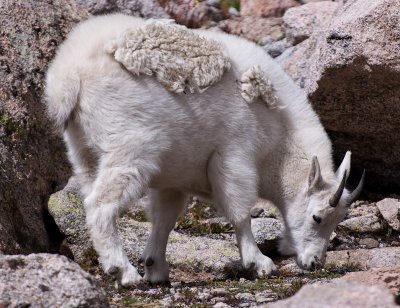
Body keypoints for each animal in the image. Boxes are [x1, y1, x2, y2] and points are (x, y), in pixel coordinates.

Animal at [43, 13, 362, 284]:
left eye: (338, 219)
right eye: (317, 217)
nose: (314, 263)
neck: (278, 137)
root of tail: (68, 78)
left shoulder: (173, 181)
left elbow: (164, 220)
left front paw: (156, 268)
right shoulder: (234, 156)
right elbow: (240, 212)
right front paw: (259, 262)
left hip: (82, 151)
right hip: (130, 149)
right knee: (100, 205)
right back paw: (123, 271)